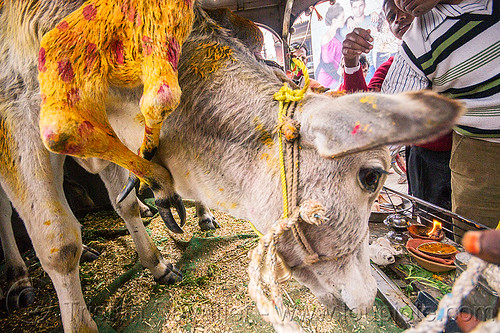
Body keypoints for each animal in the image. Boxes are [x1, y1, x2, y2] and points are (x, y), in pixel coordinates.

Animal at [0, 1, 464, 330]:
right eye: (371, 176)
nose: (367, 299)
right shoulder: (17, 109)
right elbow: (59, 242)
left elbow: (126, 201)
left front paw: (158, 248)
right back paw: (20, 277)